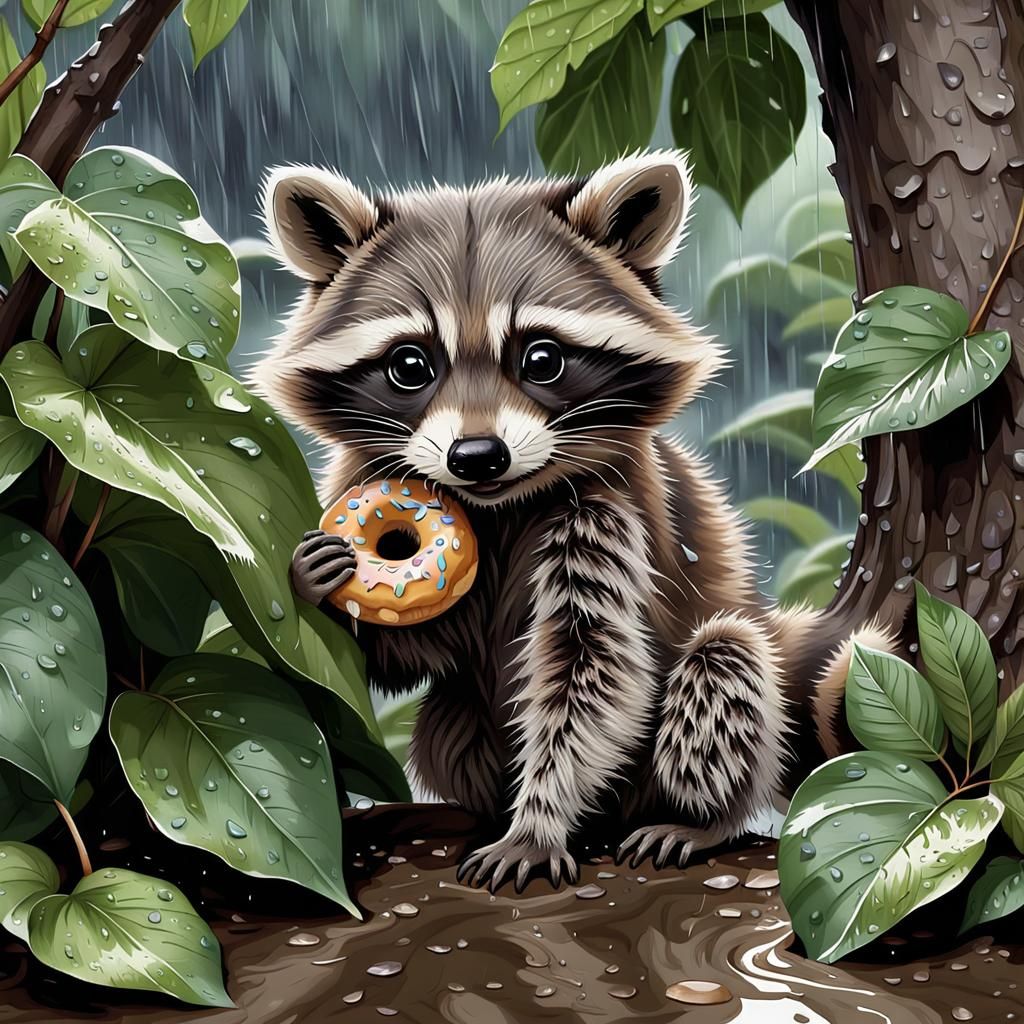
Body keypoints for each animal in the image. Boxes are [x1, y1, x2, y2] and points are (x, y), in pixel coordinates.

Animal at [252, 151, 895, 891]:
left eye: (542, 359)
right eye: (410, 364)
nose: (477, 456)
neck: (496, 507)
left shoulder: (611, 515)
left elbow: (591, 667)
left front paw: (538, 822)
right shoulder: (362, 476)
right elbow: (412, 649)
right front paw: (316, 581)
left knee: (724, 662)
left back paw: (703, 817)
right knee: (446, 718)